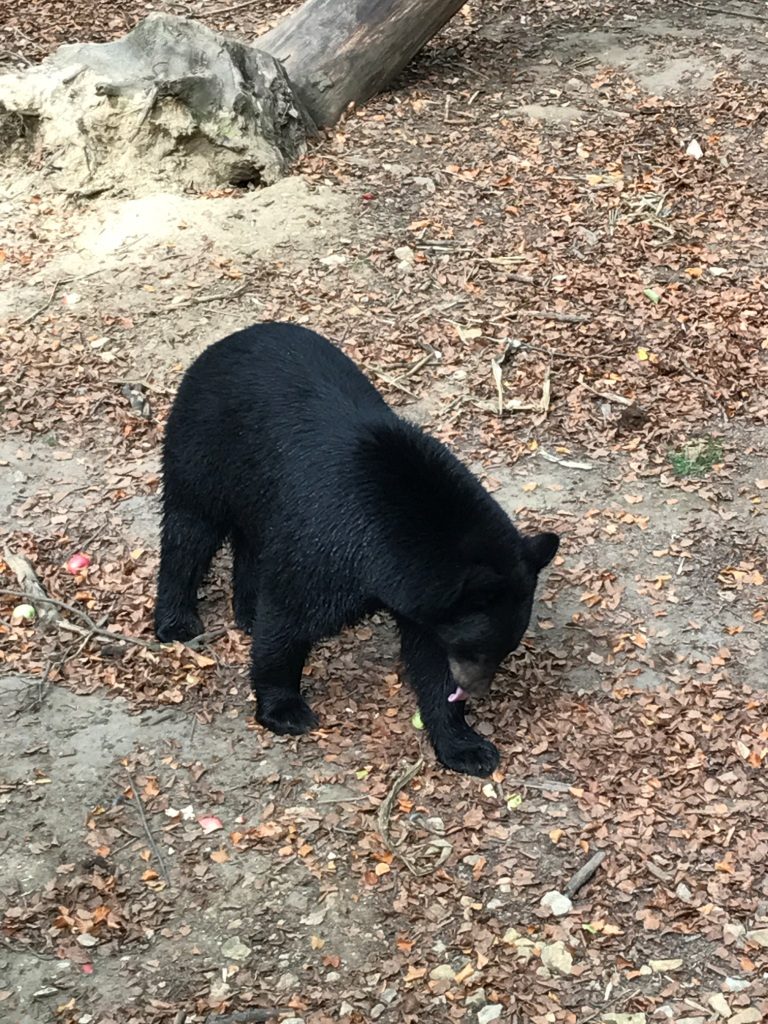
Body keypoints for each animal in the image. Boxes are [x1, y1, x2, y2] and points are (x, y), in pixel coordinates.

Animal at [154, 323, 561, 778]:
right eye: (478, 648)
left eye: (505, 649)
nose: (474, 691)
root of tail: (230, 339)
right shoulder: (331, 540)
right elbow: (289, 614)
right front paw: (284, 708)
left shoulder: (424, 600)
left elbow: (430, 658)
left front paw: (466, 746)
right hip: (205, 444)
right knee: (190, 529)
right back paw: (177, 622)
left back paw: (246, 610)